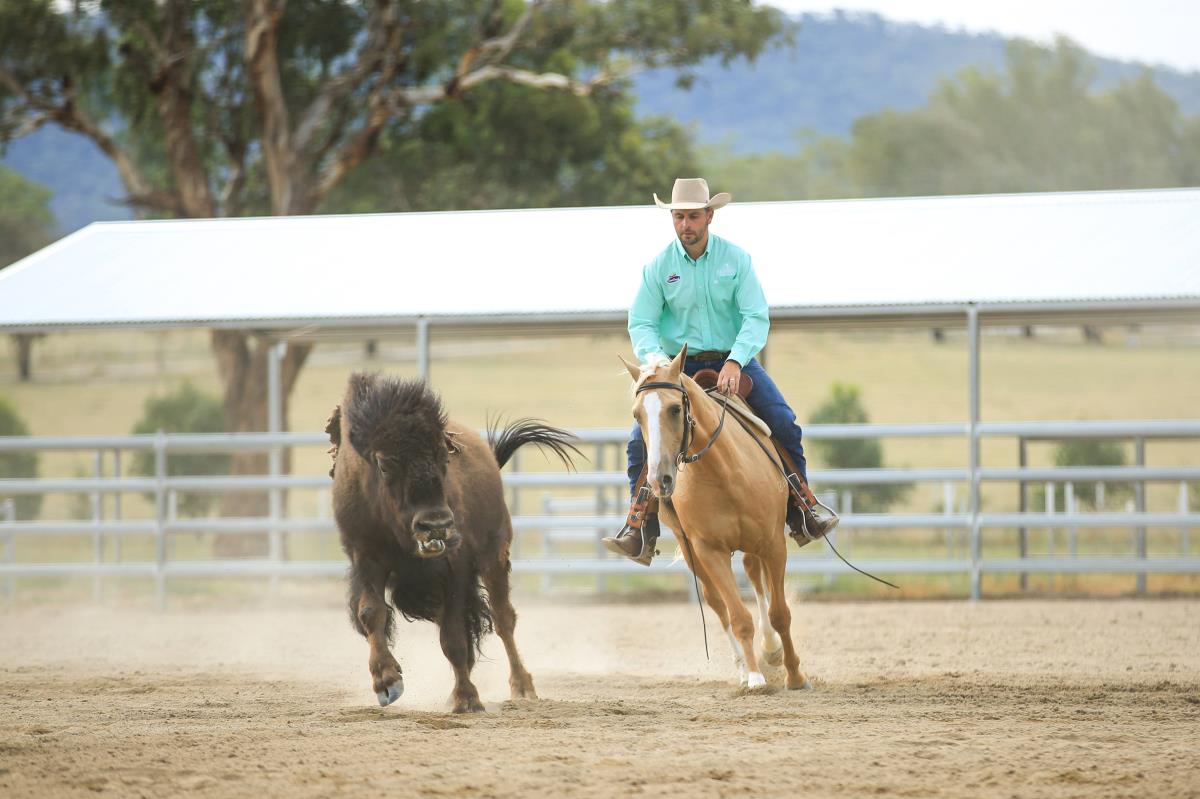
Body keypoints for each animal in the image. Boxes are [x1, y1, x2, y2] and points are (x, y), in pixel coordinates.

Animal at [326, 372, 579, 712]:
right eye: (383, 464)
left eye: (444, 457)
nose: (436, 525)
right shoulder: (365, 557)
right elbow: (371, 613)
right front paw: (387, 683)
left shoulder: (455, 566)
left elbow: (454, 638)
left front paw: (467, 699)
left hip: (494, 557)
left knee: (503, 619)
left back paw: (522, 687)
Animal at [620, 345, 811, 691]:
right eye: (637, 415)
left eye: (674, 409)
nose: (659, 480)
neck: (725, 473)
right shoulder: (709, 550)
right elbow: (736, 616)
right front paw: (754, 677)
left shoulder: (773, 543)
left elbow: (779, 613)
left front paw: (795, 674)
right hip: (691, 547)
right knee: (717, 602)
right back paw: (745, 666)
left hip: (756, 543)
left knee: (755, 578)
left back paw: (772, 650)